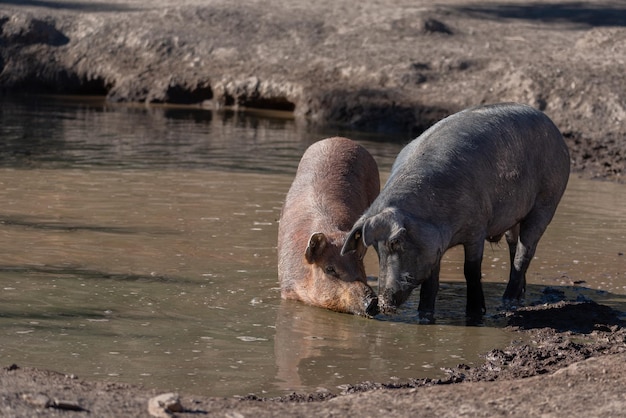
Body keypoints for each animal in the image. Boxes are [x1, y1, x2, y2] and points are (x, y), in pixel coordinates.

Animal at [338, 102, 568, 320]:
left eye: (394, 243)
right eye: (376, 249)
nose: (384, 304)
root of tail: (554, 128)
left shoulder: (477, 228)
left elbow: (471, 270)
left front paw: (476, 313)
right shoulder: (433, 247)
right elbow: (431, 284)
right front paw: (424, 315)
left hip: (547, 200)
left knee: (525, 251)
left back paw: (508, 301)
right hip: (516, 217)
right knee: (514, 246)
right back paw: (519, 295)